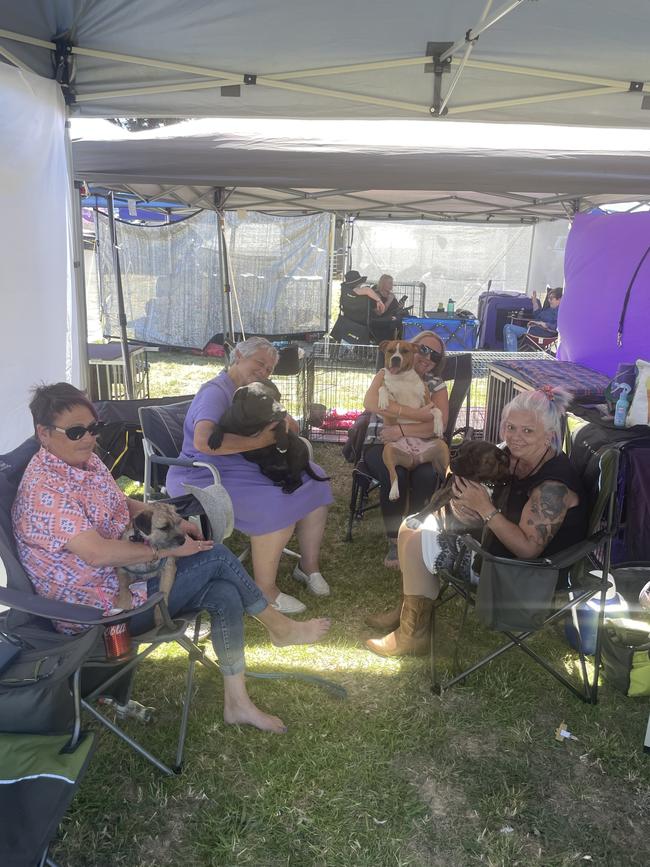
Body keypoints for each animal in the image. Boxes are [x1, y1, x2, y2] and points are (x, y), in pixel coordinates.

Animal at [378, 340, 448, 502]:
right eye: (390, 351)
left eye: (405, 351)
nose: (396, 359)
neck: (402, 378)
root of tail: (414, 458)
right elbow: (382, 388)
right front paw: (382, 400)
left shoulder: (427, 403)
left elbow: (438, 411)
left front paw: (438, 426)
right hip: (388, 451)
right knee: (393, 474)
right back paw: (394, 492)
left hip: (442, 449)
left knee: (448, 472)